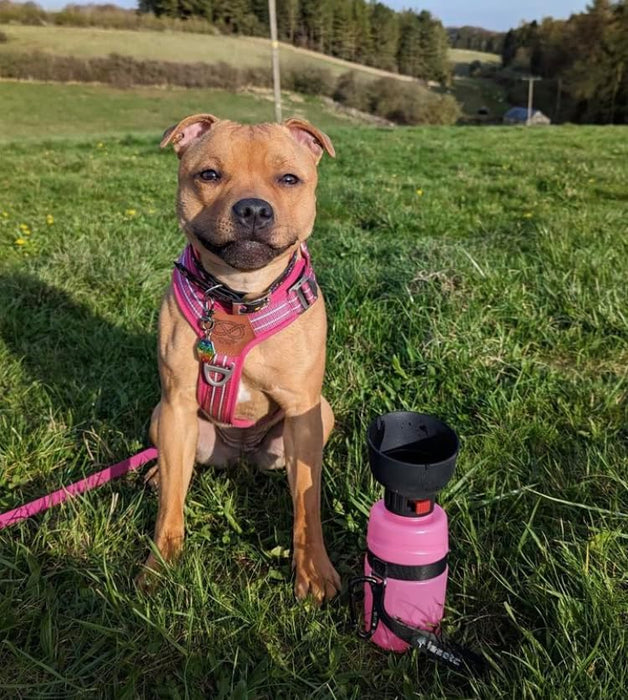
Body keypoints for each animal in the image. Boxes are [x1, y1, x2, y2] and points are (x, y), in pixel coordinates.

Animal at [142, 115, 340, 600]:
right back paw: (156, 475)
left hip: (321, 413)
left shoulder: (303, 410)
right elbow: (171, 507)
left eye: (289, 179)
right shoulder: (177, 405)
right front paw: (159, 568)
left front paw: (314, 573)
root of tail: (242, 456)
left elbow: (307, 502)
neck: (240, 298)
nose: (252, 209)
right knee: (173, 470)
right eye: (209, 174)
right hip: (164, 416)